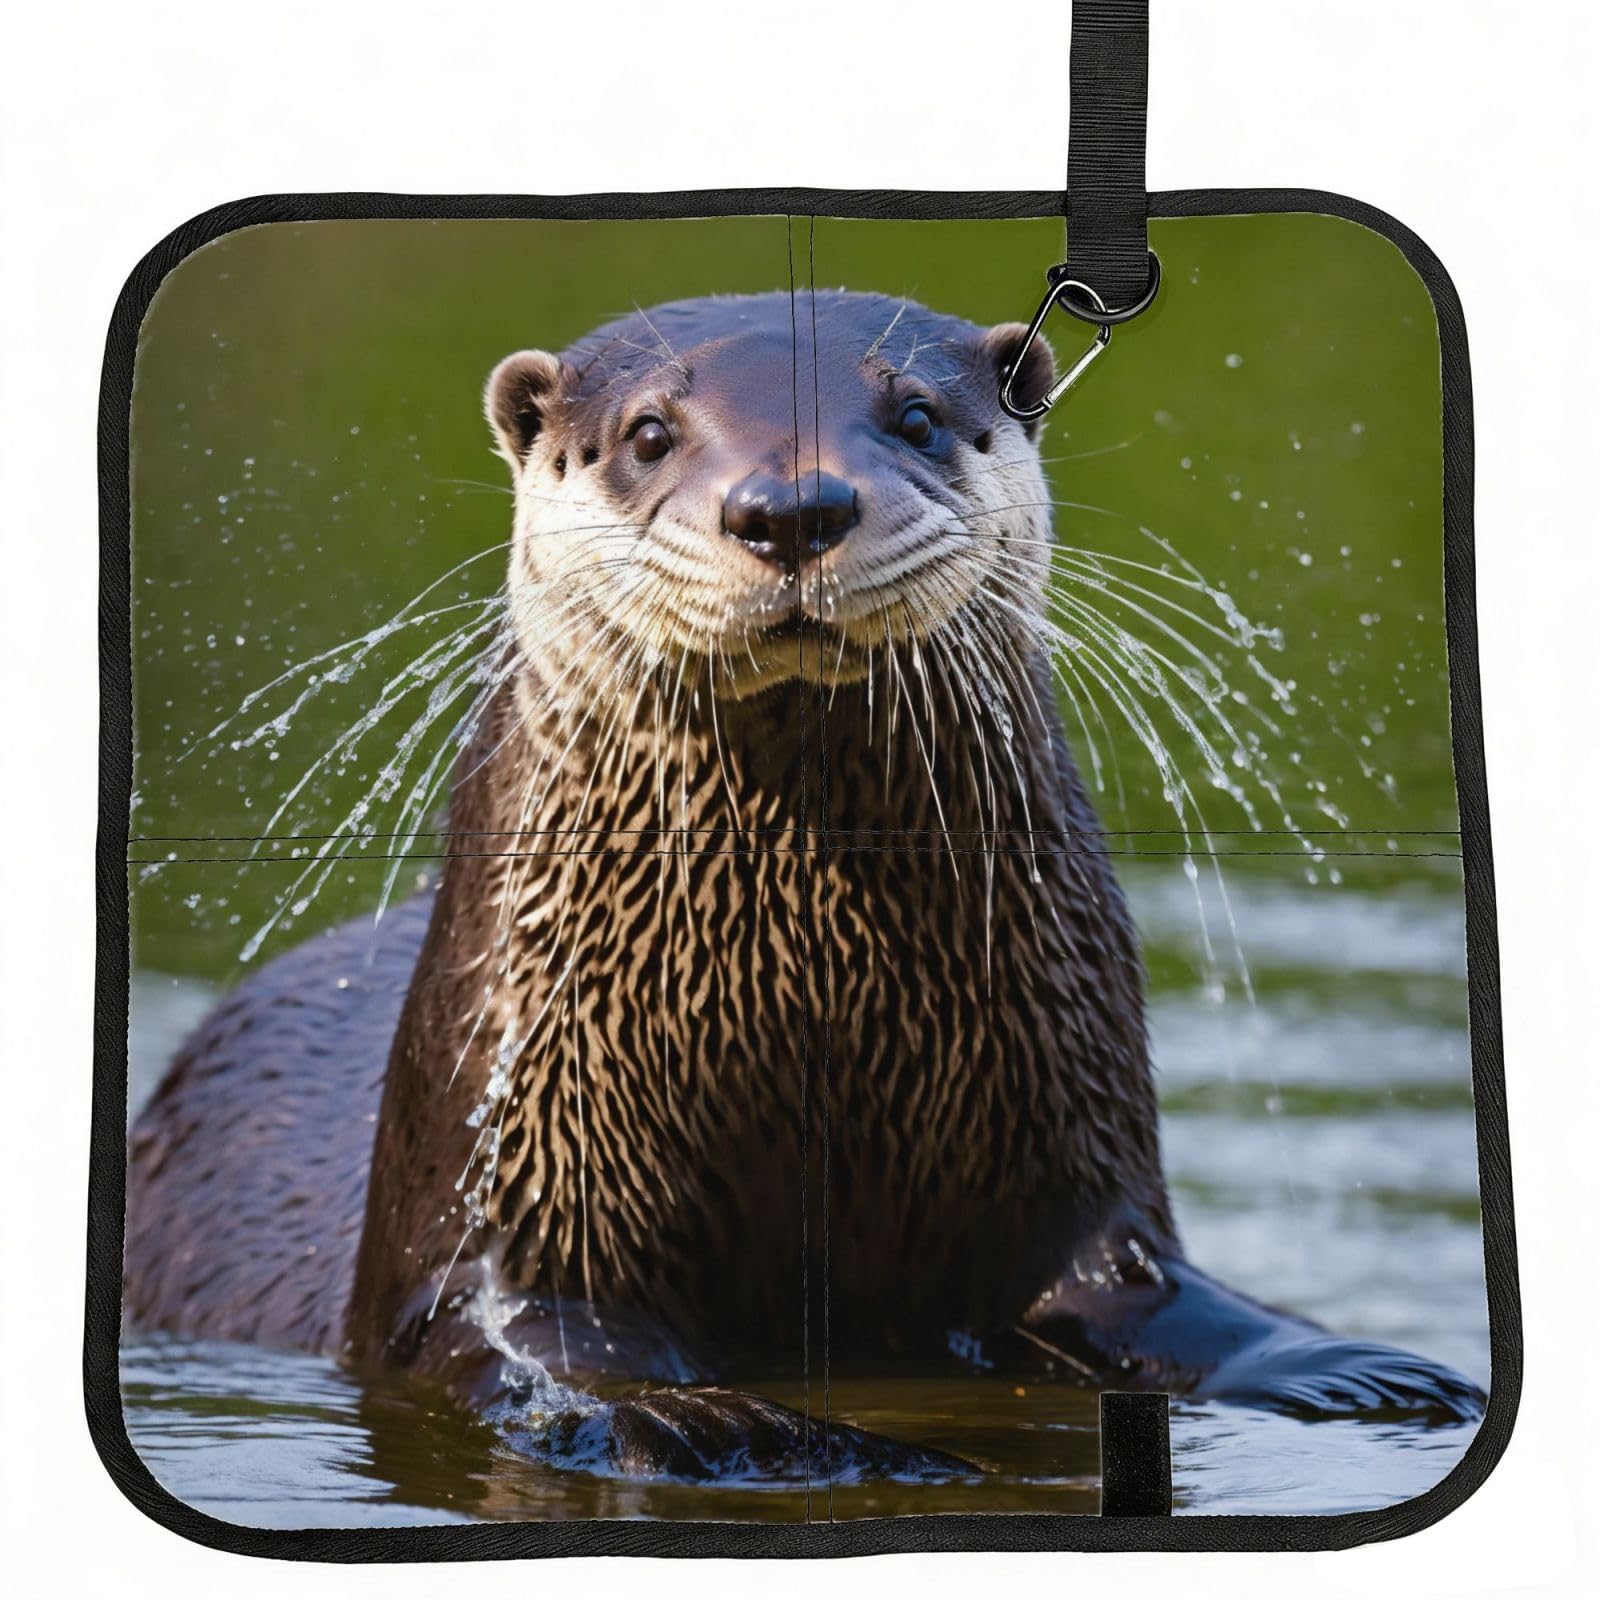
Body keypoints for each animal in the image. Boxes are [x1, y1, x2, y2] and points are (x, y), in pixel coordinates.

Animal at [125, 290, 1484, 1482]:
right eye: (649, 433)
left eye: (919, 416)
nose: (789, 506)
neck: (801, 1017)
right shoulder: (506, 1183)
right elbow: (529, 1345)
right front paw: (725, 1423)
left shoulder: (1073, 1145)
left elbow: (1132, 1282)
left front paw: (1358, 1368)